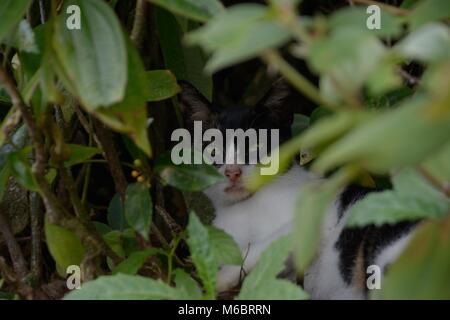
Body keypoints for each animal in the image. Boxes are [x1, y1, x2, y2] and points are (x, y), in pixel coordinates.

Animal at [176, 80, 418, 300]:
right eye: (213, 149)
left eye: (255, 146)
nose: (232, 172)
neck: (241, 210)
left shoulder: (318, 214)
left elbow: (265, 248)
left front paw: (219, 281)